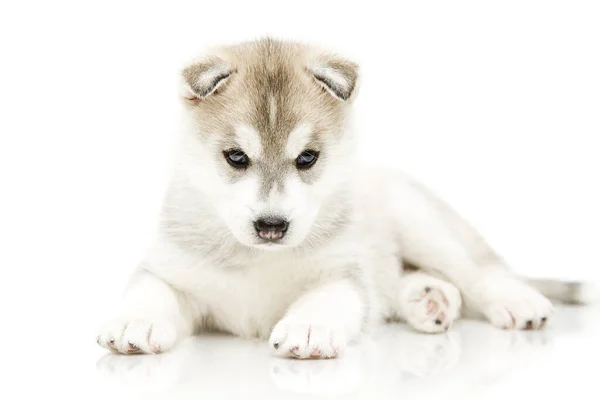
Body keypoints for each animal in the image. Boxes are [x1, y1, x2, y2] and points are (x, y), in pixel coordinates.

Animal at [96, 38, 592, 360]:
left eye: (307, 158)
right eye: (236, 157)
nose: (272, 226)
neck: (257, 259)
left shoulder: (343, 273)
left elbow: (327, 298)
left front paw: (308, 327)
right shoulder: (171, 270)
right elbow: (150, 291)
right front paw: (134, 322)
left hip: (420, 222)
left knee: (482, 270)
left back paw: (518, 302)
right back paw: (429, 299)